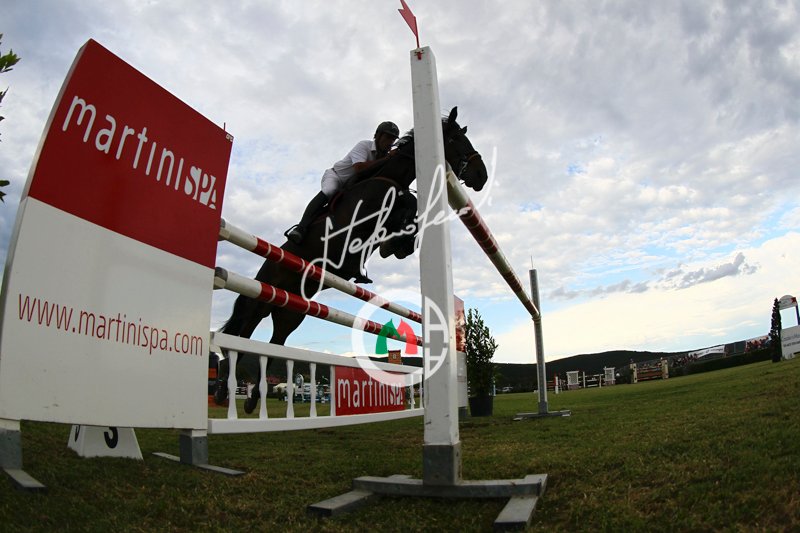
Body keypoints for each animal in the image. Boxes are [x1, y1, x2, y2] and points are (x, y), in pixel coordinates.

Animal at [215, 107, 487, 412]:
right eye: (456, 140)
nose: (482, 176)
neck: (389, 179)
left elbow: (408, 210)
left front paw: (398, 246)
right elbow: (400, 210)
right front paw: (393, 245)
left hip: (290, 312)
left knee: (274, 344)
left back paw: (251, 401)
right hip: (259, 300)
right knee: (241, 336)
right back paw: (222, 392)